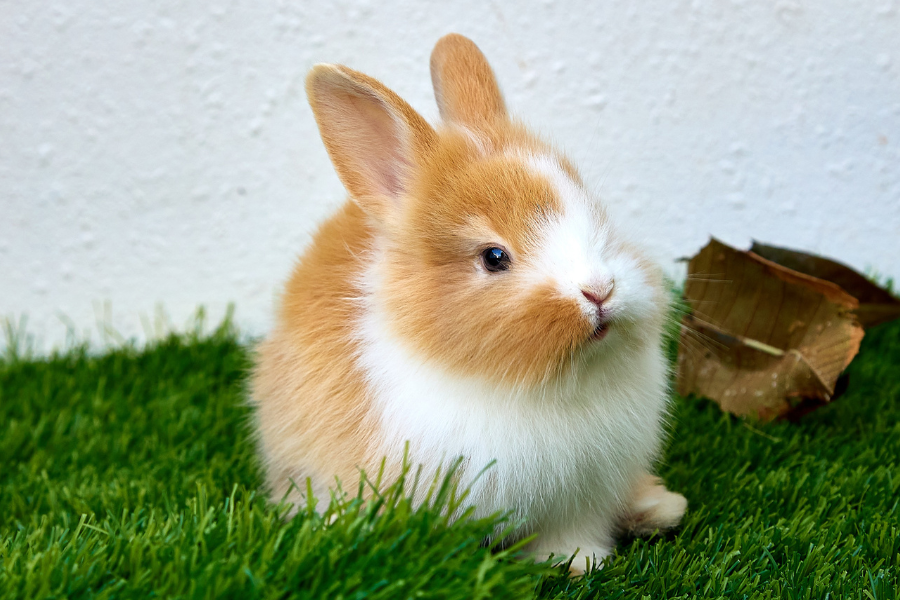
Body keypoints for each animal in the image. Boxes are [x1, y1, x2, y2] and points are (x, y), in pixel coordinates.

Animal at [251, 33, 687, 573]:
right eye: (494, 257)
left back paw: (661, 507)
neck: (538, 384)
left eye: (597, 216)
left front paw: (578, 562)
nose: (600, 290)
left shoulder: (580, 496)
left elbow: (572, 531)